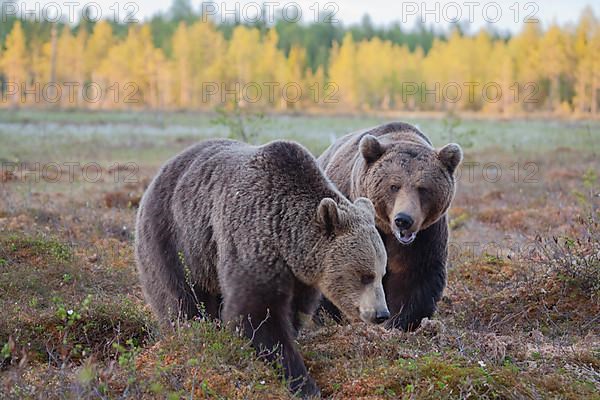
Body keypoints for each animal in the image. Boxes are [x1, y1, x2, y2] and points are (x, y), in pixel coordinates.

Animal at [135, 138, 390, 396]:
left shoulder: (299, 275)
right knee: (182, 300)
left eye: (381, 273)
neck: (286, 242)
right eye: (364, 276)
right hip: (175, 240)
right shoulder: (252, 242)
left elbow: (292, 311)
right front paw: (303, 382)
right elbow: (256, 313)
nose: (381, 314)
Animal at [318, 121, 464, 332]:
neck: (385, 229)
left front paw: (398, 323)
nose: (403, 219)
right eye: (394, 186)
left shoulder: (424, 236)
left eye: (423, 188)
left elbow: (413, 276)